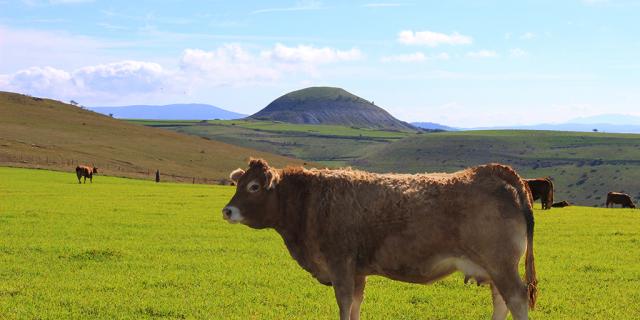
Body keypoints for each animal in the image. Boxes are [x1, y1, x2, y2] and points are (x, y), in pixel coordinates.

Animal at [222, 159, 536, 318]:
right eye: (237, 183)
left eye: (253, 186)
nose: (227, 210)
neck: (309, 201)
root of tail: (497, 172)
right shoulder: (357, 271)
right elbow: (355, 304)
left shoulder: (340, 265)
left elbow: (344, 304)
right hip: (494, 269)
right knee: (501, 301)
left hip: (501, 265)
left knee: (516, 299)